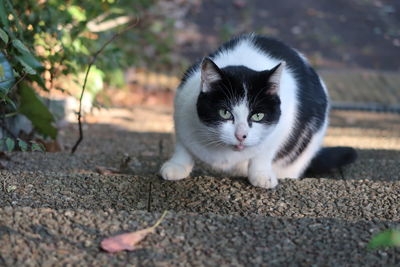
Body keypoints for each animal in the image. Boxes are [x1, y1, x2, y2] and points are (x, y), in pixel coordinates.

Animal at [159, 33, 356, 189]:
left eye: (258, 116)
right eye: (225, 113)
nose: (241, 135)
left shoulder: (283, 125)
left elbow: (264, 152)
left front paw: (261, 175)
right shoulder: (181, 107)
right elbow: (183, 146)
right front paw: (177, 166)